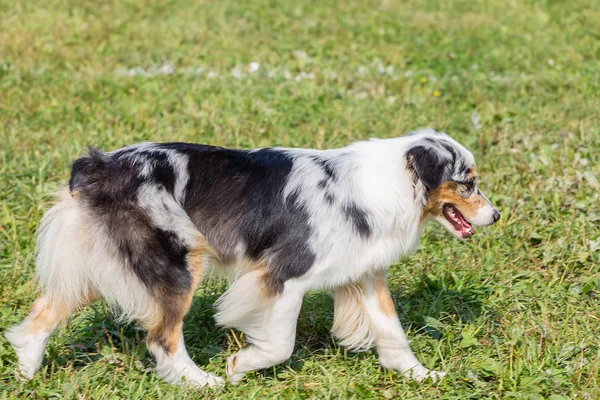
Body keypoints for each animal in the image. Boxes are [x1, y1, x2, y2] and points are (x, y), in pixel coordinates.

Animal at [5, 128, 502, 388]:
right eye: (467, 182)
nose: (497, 215)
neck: (391, 185)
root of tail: (100, 165)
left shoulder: (364, 272)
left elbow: (393, 333)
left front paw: (422, 375)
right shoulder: (285, 275)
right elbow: (281, 344)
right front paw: (240, 366)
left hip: (97, 266)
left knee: (42, 314)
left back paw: (27, 371)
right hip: (178, 262)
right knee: (162, 338)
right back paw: (202, 383)